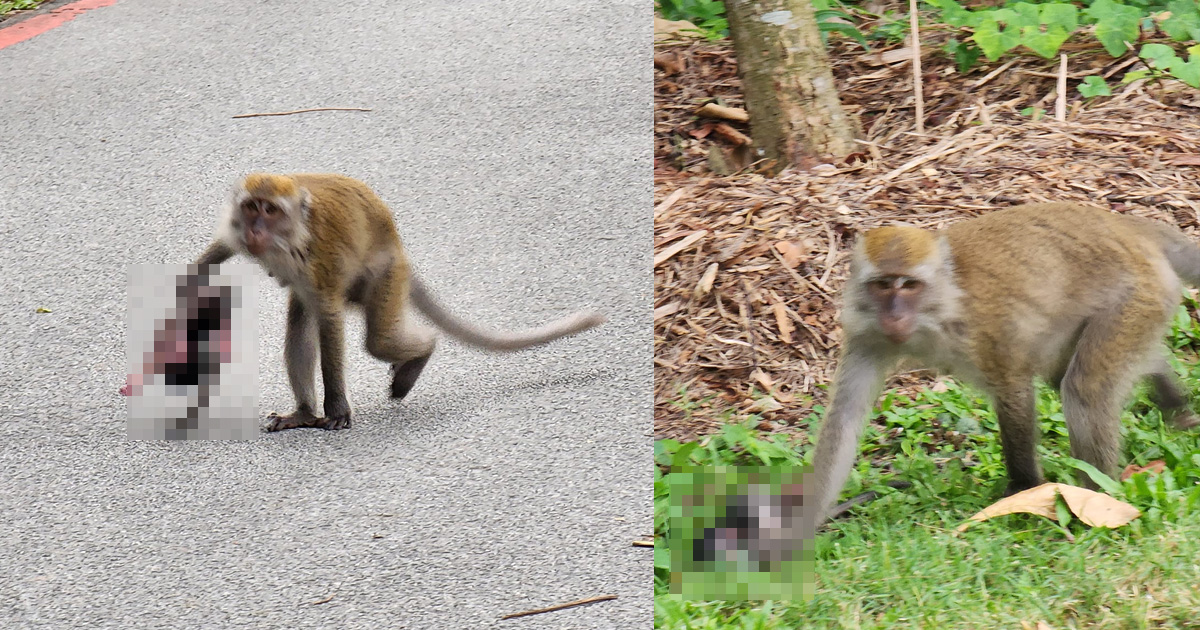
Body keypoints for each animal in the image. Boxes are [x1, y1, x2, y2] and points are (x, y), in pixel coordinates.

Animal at [192, 173, 606, 432]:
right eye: (252, 207)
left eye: (271, 210)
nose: (256, 230)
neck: (289, 237)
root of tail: (398, 246)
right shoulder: (237, 234)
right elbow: (219, 250)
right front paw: (191, 279)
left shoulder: (319, 260)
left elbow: (330, 320)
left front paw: (337, 407)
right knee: (300, 323)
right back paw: (304, 414)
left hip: (385, 278)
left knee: (377, 340)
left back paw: (421, 354)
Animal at [790, 202, 1200, 545]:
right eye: (881, 285)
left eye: (908, 285)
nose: (894, 314)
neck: (939, 306)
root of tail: (1128, 227)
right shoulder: (867, 336)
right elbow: (844, 420)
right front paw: (803, 527)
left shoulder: (984, 327)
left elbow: (1013, 389)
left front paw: (1023, 489)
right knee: (1070, 376)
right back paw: (1171, 398)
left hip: (1138, 295)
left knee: (1084, 387)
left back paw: (1095, 497)